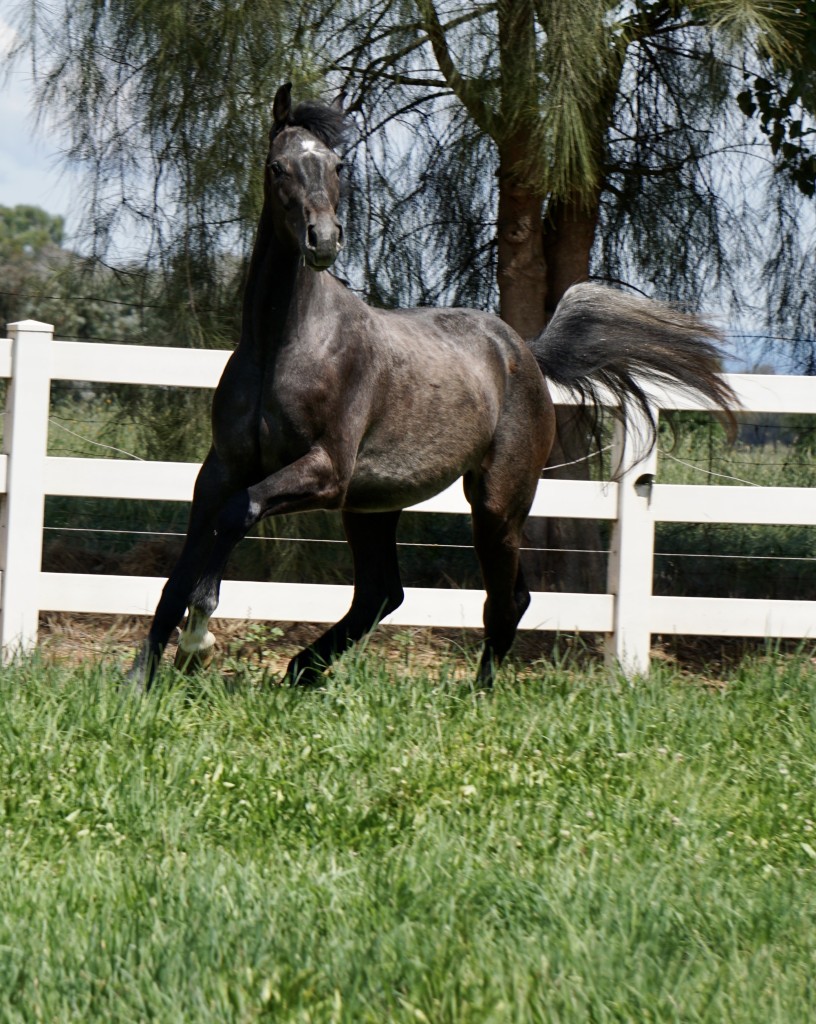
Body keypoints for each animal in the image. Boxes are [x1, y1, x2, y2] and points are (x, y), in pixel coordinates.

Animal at [130, 82, 736, 689]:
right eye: (277, 166)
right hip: (374, 505)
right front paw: (142, 675)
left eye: (337, 164)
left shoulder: (325, 471)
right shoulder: (222, 469)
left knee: (506, 598)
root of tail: (524, 352)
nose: (323, 240)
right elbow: (182, 569)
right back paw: (303, 671)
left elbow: (238, 515)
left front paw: (198, 642)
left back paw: (477, 691)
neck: (285, 344)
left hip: (495, 502)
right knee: (382, 593)